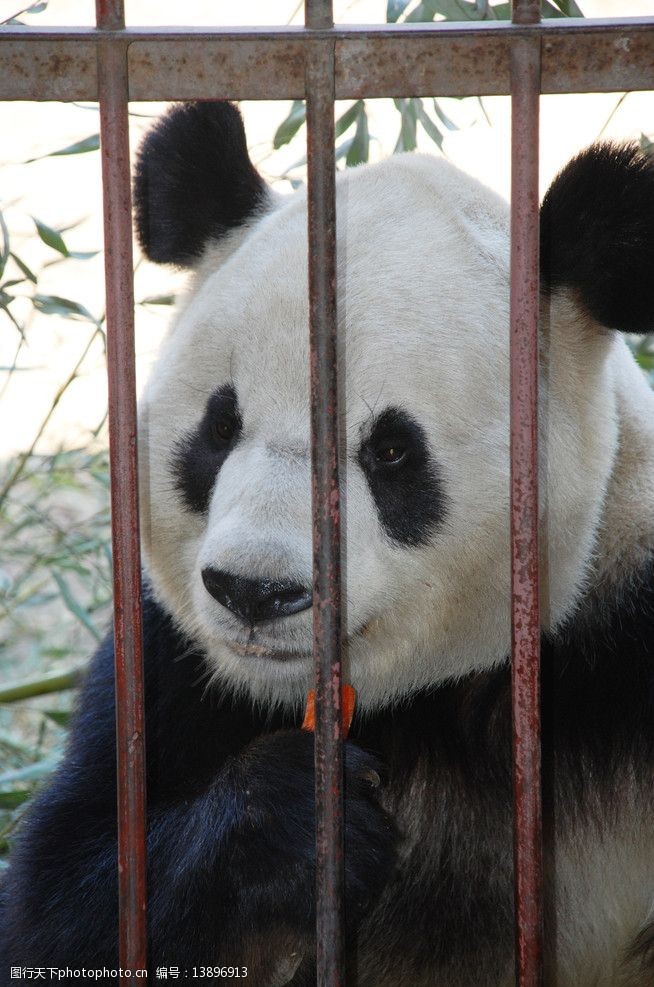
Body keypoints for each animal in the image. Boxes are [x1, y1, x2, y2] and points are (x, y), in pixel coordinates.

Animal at [1, 102, 654, 987]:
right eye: (220, 426)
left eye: (391, 449)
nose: (255, 590)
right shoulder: (168, 666)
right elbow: (61, 901)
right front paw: (296, 821)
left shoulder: (622, 648)